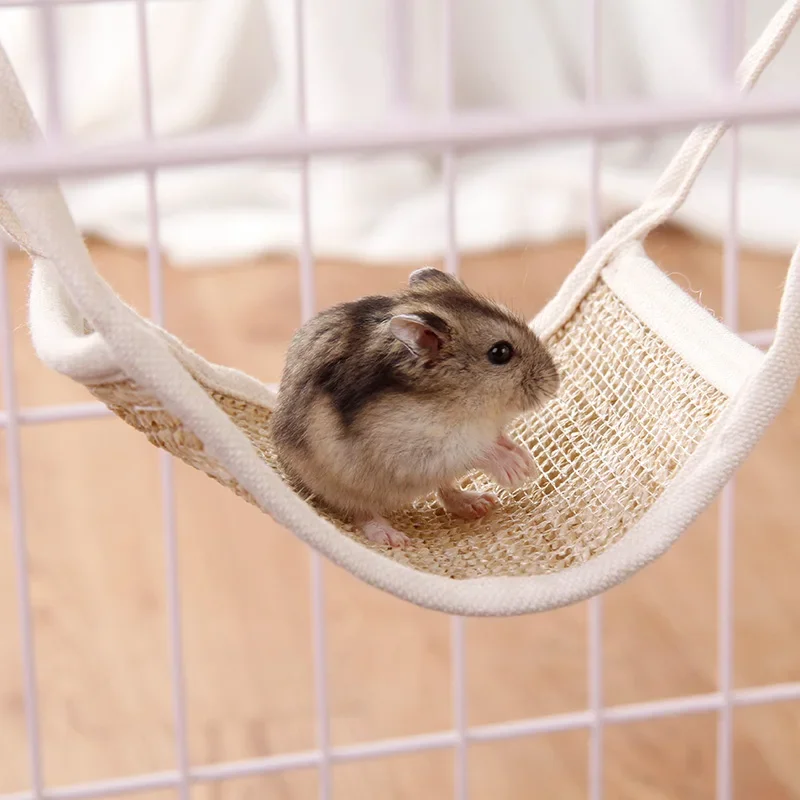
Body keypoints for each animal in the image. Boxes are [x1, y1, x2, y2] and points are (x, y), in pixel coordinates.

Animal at [271, 266, 560, 547]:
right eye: (500, 353)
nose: (554, 385)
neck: (468, 408)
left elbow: (497, 439)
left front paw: (526, 460)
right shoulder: (417, 448)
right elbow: (476, 451)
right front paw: (518, 471)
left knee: (446, 489)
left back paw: (478, 504)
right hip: (341, 482)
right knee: (362, 510)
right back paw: (393, 538)